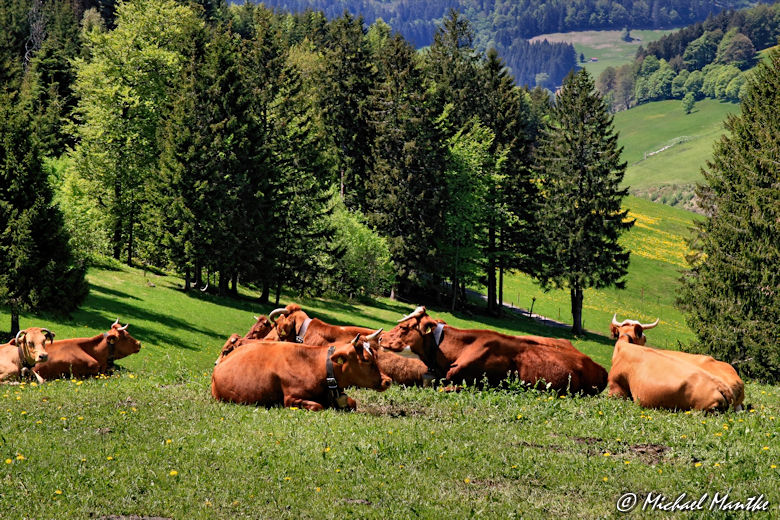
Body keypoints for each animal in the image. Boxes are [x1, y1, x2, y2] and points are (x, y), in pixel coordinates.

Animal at [211, 332, 392, 410]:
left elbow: (353, 403)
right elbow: (318, 406)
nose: (387, 380)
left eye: (375, 355)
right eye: (366, 359)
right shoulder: (291, 398)